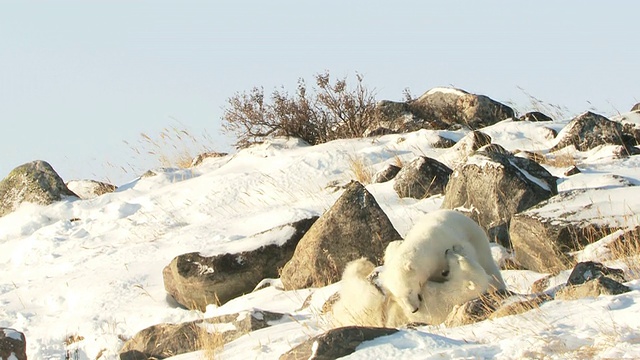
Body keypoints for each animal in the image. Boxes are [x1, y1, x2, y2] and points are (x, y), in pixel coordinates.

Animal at [330, 249, 490, 328]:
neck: (455, 291)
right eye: (462, 256)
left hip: (363, 309)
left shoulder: (435, 300)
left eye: (459, 260)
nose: (447, 250)